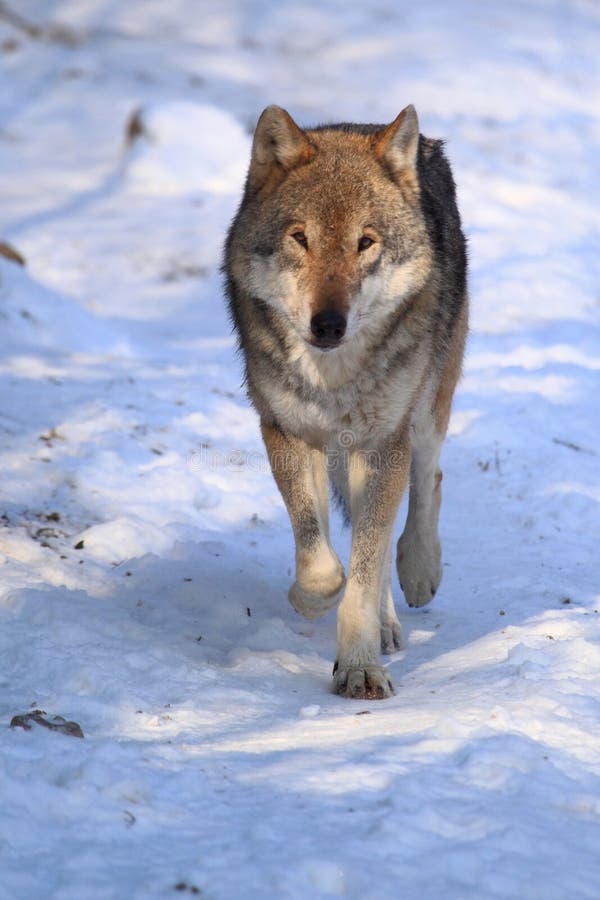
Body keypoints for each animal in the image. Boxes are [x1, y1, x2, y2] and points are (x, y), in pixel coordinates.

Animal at [223, 103, 466, 696]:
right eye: (300, 238)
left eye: (365, 242)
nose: (329, 324)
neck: (333, 381)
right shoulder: (285, 430)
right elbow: (324, 559)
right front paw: (315, 600)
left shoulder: (382, 445)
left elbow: (364, 569)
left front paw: (359, 667)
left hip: (425, 412)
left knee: (428, 480)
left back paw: (419, 574)